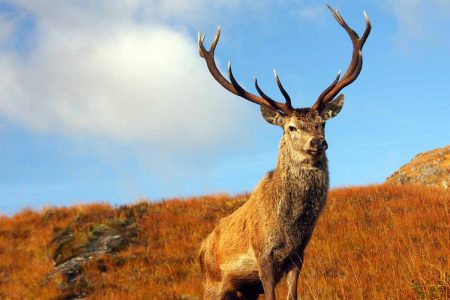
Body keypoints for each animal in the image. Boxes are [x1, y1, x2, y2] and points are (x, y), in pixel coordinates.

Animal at [199, 4, 370, 300]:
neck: (290, 231)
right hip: (212, 285)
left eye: (322, 122)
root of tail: (200, 251)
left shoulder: (297, 257)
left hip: (244, 291)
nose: (318, 142)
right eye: (291, 127)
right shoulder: (263, 257)